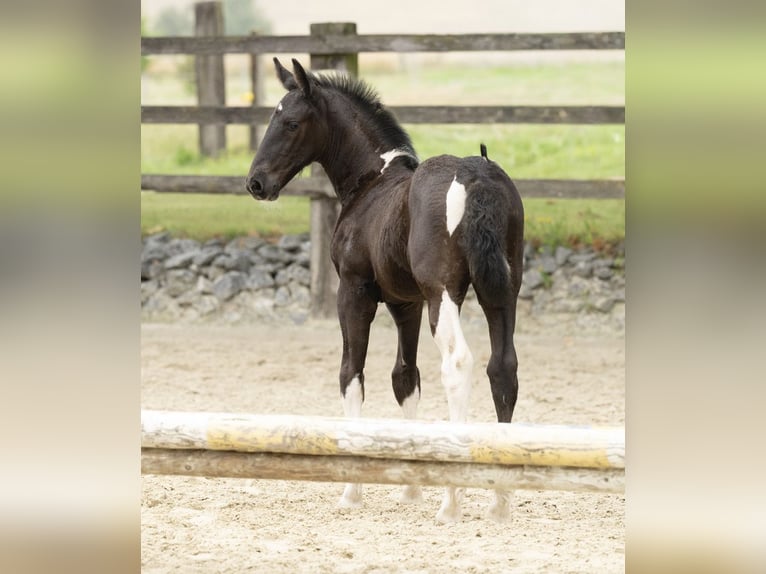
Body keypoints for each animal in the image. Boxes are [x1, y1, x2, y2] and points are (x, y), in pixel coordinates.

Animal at [246, 58, 524, 522]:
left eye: (290, 122)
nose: (256, 183)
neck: (372, 183)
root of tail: (476, 174)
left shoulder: (354, 292)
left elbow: (351, 374)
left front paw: (352, 490)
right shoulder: (405, 303)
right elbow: (405, 378)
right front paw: (410, 487)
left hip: (444, 293)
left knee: (458, 363)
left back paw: (452, 501)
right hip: (502, 292)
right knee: (502, 368)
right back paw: (500, 501)